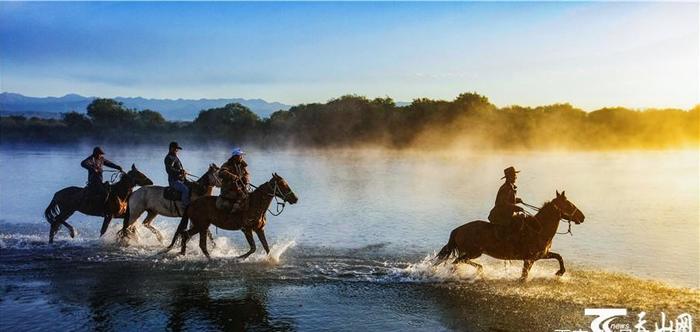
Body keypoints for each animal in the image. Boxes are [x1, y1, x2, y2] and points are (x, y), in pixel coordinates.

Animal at [165, 172, 300, 260]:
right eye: (283, 185)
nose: (295, 199)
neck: (255, 204)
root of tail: (192, 203)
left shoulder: (259, 229)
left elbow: (266, 247)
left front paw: (272, 260)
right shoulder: (247, 230)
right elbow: (253, 248)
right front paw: (239, 257)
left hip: (201, 226)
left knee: (186, 236)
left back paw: (183, 253)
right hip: (201, 225)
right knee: (197, 242)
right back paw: (209, 258)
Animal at [434, 189, 584, 280]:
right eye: (569, 205)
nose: (582, 217)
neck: (540, 229)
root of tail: (458, 229)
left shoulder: (540, 255)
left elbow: (559, 256)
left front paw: (560, 272)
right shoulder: (530, 259)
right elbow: (524, 277)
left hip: (471, 252)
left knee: (459, 261)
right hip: (474, 252)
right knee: (457, 261)